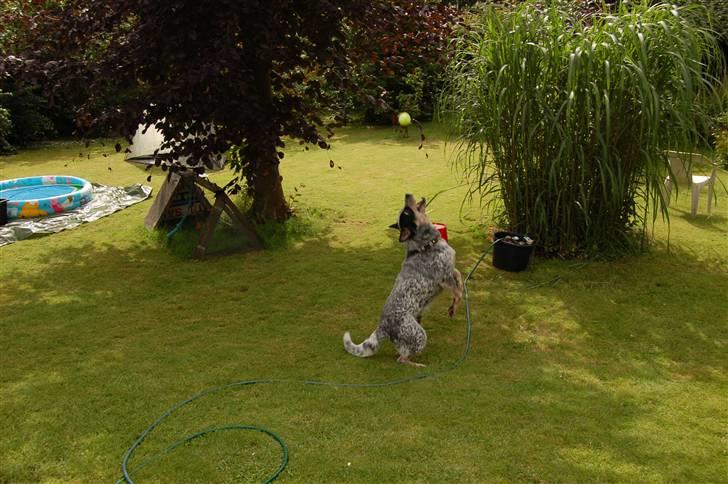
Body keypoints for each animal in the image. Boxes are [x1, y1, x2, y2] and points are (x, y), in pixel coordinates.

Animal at [342, 193, 466, 366]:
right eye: (407, 211)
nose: (407, 194)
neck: (426, 245)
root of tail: (382, 326)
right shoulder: (444, 277)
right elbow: (458, 292)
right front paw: (454, 306)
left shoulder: (451, 270)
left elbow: (459, 277)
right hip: (419, 335)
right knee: (402, 359)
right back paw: (417, 365)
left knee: (402, 351)